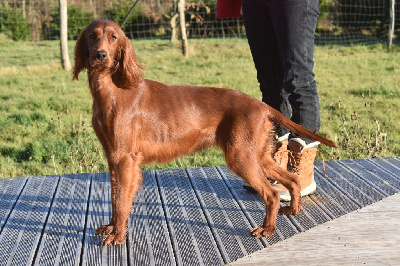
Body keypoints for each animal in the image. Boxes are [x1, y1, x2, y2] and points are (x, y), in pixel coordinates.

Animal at [73, 19, 336, 246]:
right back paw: (292, 208)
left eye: (113, 37)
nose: (100, 55)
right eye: (92, 36)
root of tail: (261, 105)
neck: (112, 89)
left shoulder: (125, 159)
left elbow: (121, 201)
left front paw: (117, 235)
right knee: (291, 179)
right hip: (258, 155)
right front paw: (111, 227)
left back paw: (267, 228)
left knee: (271, 193)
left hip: (240, 156)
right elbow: (115, 196)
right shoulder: (113, 157)